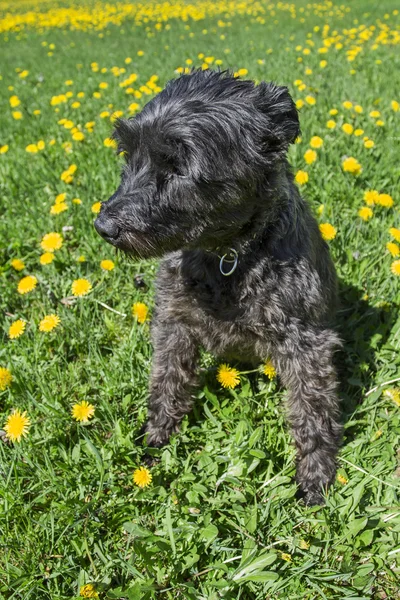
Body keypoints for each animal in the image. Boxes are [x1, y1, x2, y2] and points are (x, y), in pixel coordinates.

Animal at [95, 70, 342, 506]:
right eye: (129, 155)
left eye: (178, 166)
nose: (103, 226)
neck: (228, 256)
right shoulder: (174, 324)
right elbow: (167, 382)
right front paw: (156, 441)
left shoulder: (306, 344)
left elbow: (313, 409)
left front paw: (315, 476)